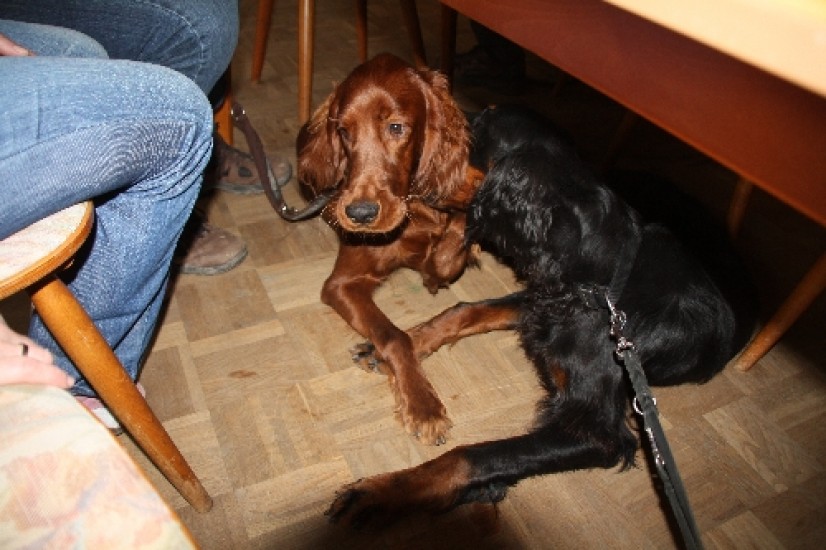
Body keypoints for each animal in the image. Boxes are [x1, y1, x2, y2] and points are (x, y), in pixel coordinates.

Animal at [296, 53, 483, 445]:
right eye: (344, 131)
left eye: (396, 128)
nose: (360, 214)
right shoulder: (342, 284)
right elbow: (395, 336)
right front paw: (424, 405)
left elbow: (453, 240)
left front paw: (445, 258)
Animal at [326, 104, 758, 527]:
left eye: (476, 133)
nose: (405, 169)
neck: (605, 281)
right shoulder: (545, 298)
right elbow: (465, 310)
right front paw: (393, 347)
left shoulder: (594, 431)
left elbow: (473, 455)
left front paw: (381, 494)